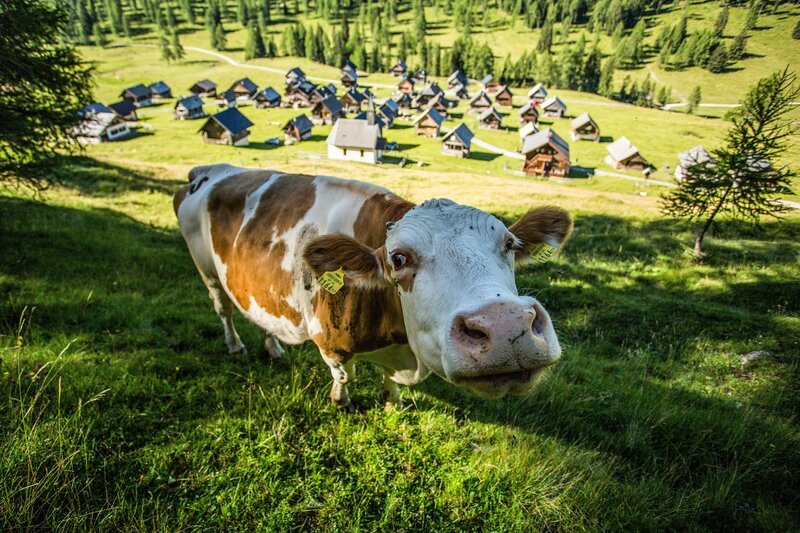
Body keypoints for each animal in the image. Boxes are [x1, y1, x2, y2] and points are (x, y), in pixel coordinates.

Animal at [174, 164, 573, 410]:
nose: (507, 327)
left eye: (509, 244)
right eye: (398, 258)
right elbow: (344, 374)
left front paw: (391, 401)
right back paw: (235, 345)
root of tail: (211, 171)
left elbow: (389, 383)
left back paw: (273, 347)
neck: (398, 345)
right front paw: (342, 401)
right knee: (223, 308)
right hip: (206, 268)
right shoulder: (328, 341)